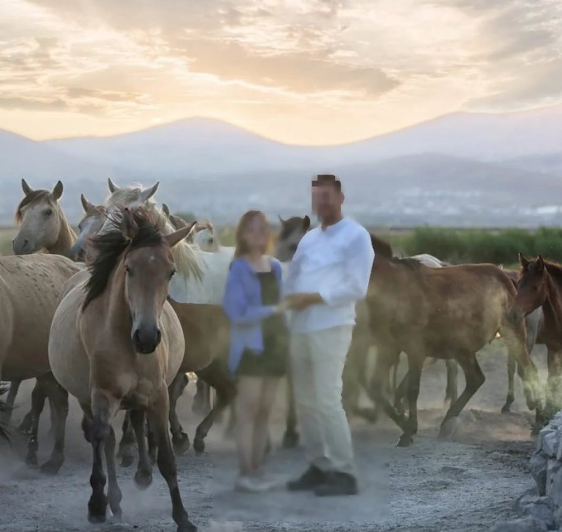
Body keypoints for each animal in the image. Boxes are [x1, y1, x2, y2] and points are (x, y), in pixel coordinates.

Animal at [366, 235, 540, 446]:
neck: (395, 289)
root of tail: (505, 276)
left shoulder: (415, 349)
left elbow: (412, 390)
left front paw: (409, 430)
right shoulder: (389, 347)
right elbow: (375, 388)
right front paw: (405, 425)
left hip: (514, 336)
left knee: (528, 370)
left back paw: (540, 420)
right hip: (463, 348)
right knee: (476, 379)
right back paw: (447, 420)